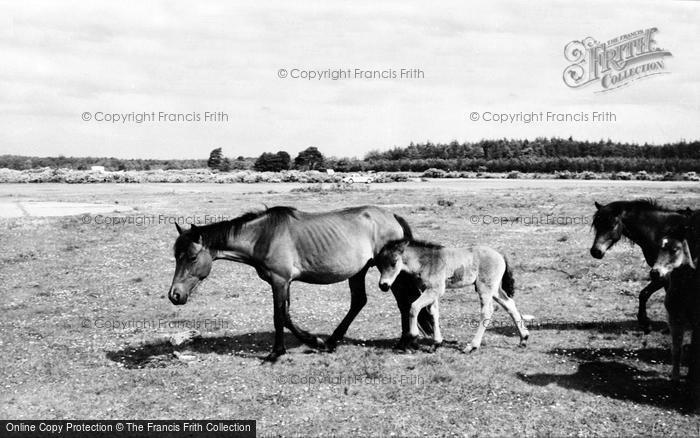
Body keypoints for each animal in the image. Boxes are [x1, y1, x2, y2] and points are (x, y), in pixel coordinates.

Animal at [168, 205, 432, 360]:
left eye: (192, 257)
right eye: (176, 256)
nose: (175, 295)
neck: (263, 236)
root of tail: (392, 216)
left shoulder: (279, 281)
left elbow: (279, 317)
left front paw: (278, 352)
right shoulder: (283, 283)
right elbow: (286, 316)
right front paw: (314, 341)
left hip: (389, 271)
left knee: (403, 302)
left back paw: (404, 342)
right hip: (359, 271)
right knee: (360, 301)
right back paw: (333, 341)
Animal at [374, 240, 528, 352]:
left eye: (394, 262)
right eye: (379, 264)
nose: (384, 285)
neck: (427, 261)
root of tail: (500, 255)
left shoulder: (435, 290)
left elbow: (414, 307)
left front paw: (413, 336)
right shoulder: (430, 291)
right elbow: (433, 313)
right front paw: (436, 343)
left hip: (484, 288)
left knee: (487, 311)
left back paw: (472, 346)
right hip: (495, 290)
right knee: (509, 304)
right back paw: (523, 338)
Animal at [592, 199, 688, 332]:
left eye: (611, 225)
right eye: (596, 225)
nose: (595, 252)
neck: (661, 232)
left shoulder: (663, 274)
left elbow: (644, 294)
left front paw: (644, 322)